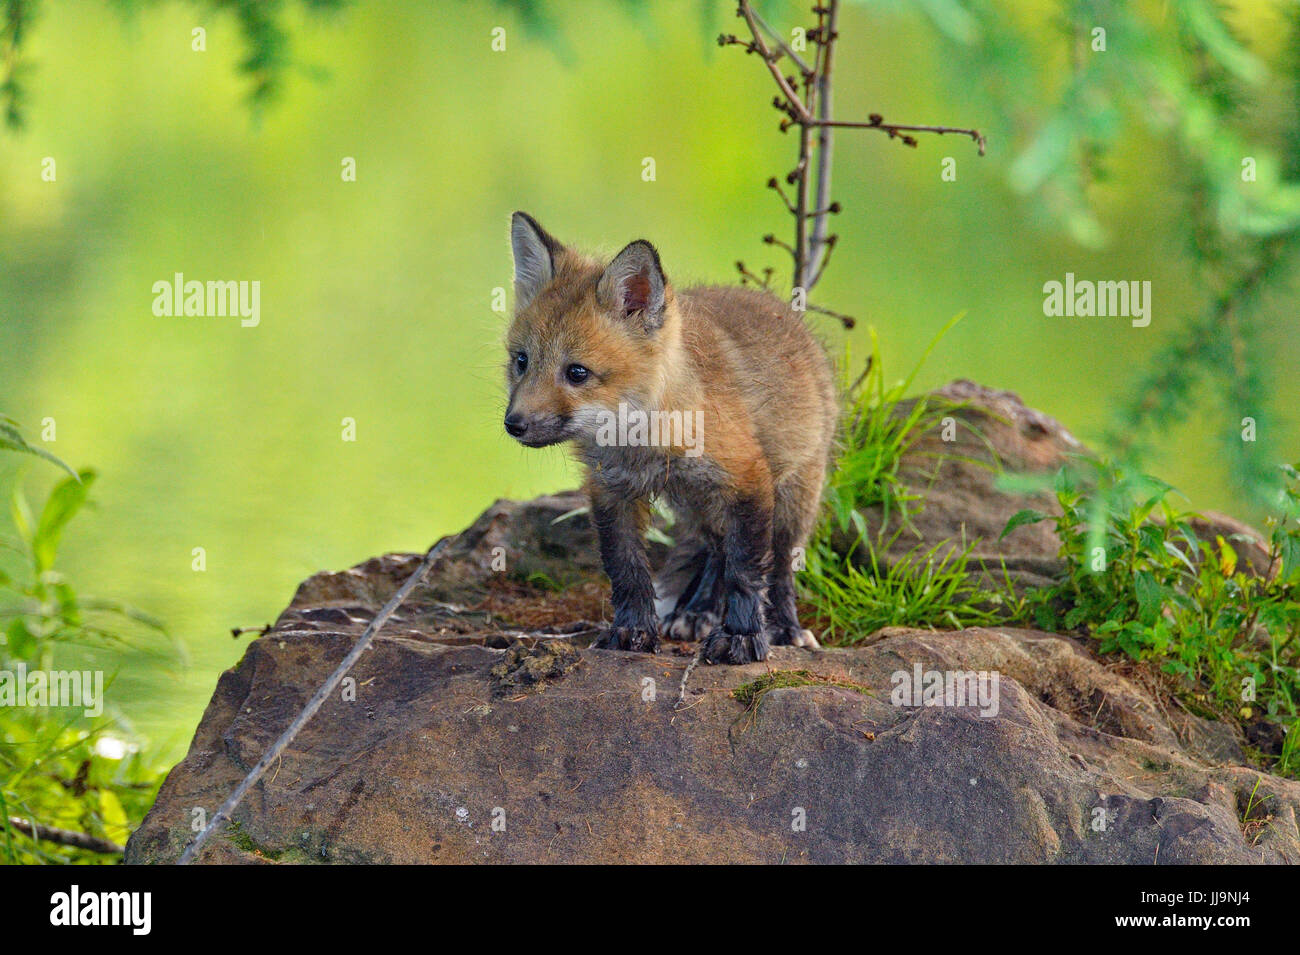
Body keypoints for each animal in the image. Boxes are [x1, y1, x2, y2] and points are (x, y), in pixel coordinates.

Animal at [503, 212, 838, 664]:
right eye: (521, 361)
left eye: (577, 373)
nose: (514, 423)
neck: (644, 442)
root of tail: (782, 311)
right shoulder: (611, 492)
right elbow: (627, 570)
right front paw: (632, 631)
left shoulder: (748, 478)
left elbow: (746, 571)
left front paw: (742, 636)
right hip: (699, 505)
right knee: (715, 550)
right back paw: (698, 611)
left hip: (791, 498)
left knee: (780, 564)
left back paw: (785, 626)